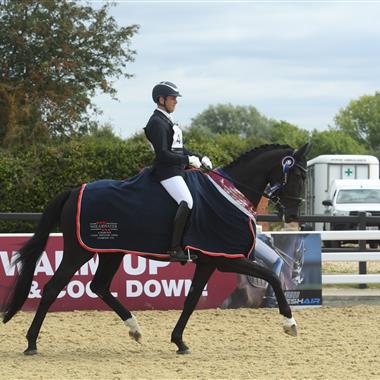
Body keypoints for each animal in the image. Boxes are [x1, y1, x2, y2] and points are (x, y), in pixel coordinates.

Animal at [2, 142, 308, 354]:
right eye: (296, 175)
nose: (293, 214)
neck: (230, 193)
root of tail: (75, 190)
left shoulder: (208, 261)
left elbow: (192, 298)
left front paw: (179, 341)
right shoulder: (225, 259)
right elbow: (271, 276)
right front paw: (289, 324)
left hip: (113, 252)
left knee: (99, 286)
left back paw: (135, 329)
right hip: (80, 251)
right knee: (52, 288)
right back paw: (31, 343)